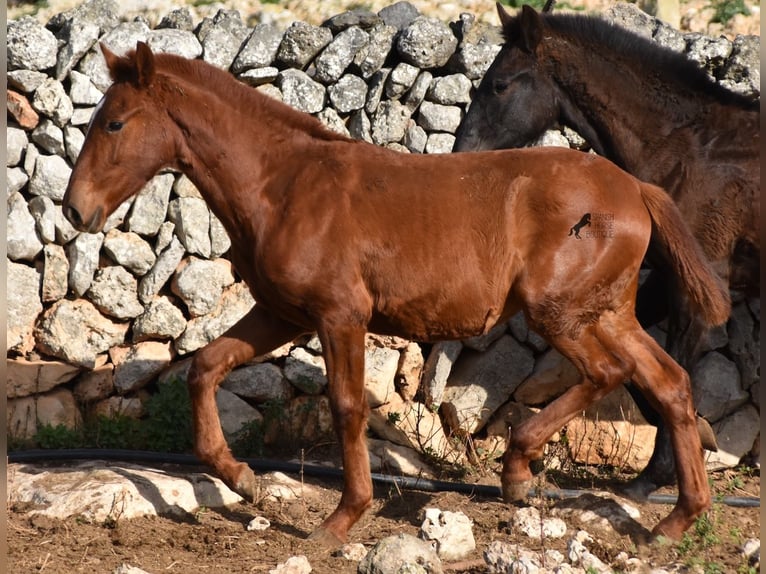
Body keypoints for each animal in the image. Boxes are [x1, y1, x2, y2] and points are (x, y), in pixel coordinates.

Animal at [63, 41, 728, 544]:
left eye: (115, 122)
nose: (75, 210)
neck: (285, 185)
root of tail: (636, 188)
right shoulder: (282, 313)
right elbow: (204, 366)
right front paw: (243, 477)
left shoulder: (340, 315)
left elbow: (347, 406)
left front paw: (341, 520)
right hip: (607, 312)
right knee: (670, 384)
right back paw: (674, 520)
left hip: (559, 314)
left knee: (609, 373)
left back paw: (517, 472)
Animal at [456, 3, 760, 500]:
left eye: (499, 84)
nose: (462, 152)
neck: (688, 147)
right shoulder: (664, 279)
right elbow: (641, 368)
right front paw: (698, 435)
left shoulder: (698, 288)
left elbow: (674, 367)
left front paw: (655, 476)